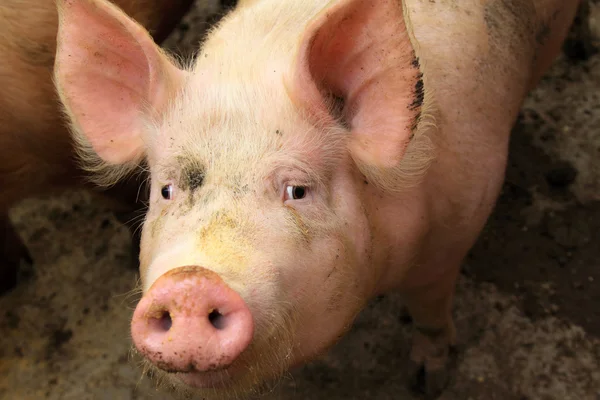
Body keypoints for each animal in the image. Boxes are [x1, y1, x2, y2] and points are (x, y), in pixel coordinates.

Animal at [54, 0, 580, 396]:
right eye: (166, 191)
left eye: (297, 190)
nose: (189, 283)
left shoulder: (453, 233)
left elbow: (431, 311)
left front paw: (428, 380)